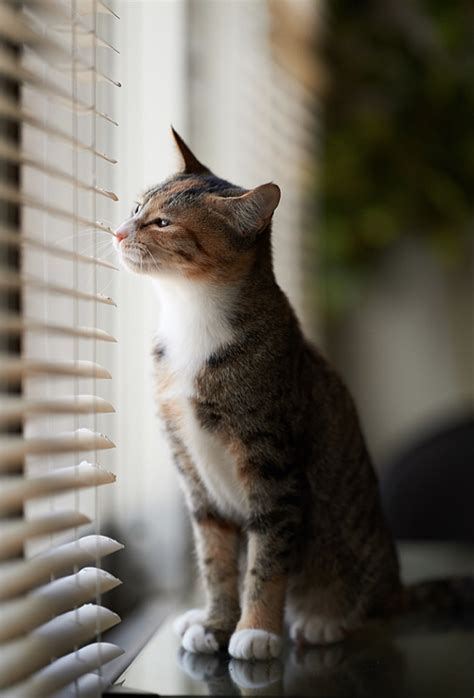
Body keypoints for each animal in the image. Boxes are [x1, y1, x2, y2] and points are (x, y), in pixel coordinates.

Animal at [114, 130, 470, 656]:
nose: (119, 231)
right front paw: (216, 622)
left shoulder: (274, 466)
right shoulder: (192, 472)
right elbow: (215, 560)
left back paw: (324, 621)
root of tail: (397, 590)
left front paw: (255, 629)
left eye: (162, 222)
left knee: (372, 615)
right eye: (138, 206)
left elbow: (267, 557)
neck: (192, 319)